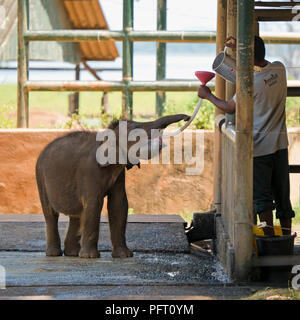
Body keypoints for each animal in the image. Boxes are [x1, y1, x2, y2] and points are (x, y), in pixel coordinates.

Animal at [35, 114, 190, 258]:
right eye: (135, 130)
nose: (187, 117)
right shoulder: (89, 170)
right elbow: (94, 204)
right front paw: (91, 257)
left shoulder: (119, 174)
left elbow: (119, 204)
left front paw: (124, 256)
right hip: (40, 177)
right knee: (51, 213)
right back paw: (55, 254)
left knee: (77, 214)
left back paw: (72, 254)